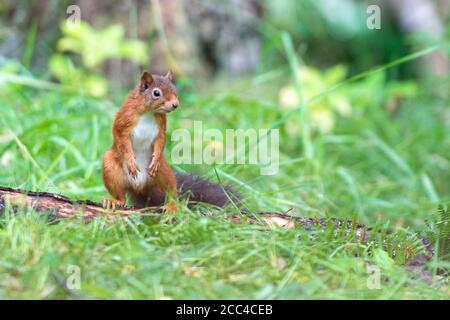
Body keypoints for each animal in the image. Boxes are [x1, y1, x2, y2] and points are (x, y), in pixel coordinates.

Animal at [100, 70, 237, 212]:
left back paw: (172, 205)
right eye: (156, 93)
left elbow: (161, 140)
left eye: (174, 90)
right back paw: (114, 201)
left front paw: (155, 158)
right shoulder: (124, 120)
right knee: (120, 194)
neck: (149, 112)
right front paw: (131, 161)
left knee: (171, 191)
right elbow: (121, 138)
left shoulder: (161, 125)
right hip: (111, 167)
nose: (175, 104)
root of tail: (140, 188)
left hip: (164, 171)